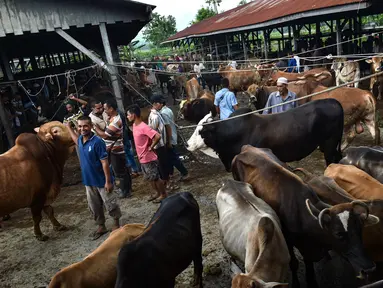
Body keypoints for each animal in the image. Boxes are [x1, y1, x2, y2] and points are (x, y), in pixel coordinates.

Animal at [231, 146, 380, 288]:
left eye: (360, 228)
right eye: (338, 233)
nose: (369, 269)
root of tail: (247, 148)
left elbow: (309, 268)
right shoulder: (288, 240)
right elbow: (294, 263)